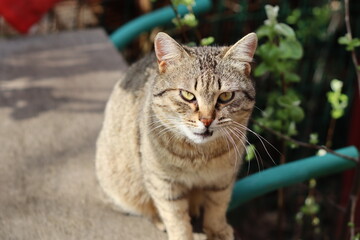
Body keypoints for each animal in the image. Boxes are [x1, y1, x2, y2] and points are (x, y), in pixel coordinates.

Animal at [96, 32, 256, 240]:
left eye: (226, 96)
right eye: (187, 95)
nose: (206, 120)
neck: (200, 155)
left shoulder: (223, 178)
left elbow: (217, 206)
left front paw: (217, 230)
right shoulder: (163, 182)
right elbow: (175, 216)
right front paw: (184, 234)